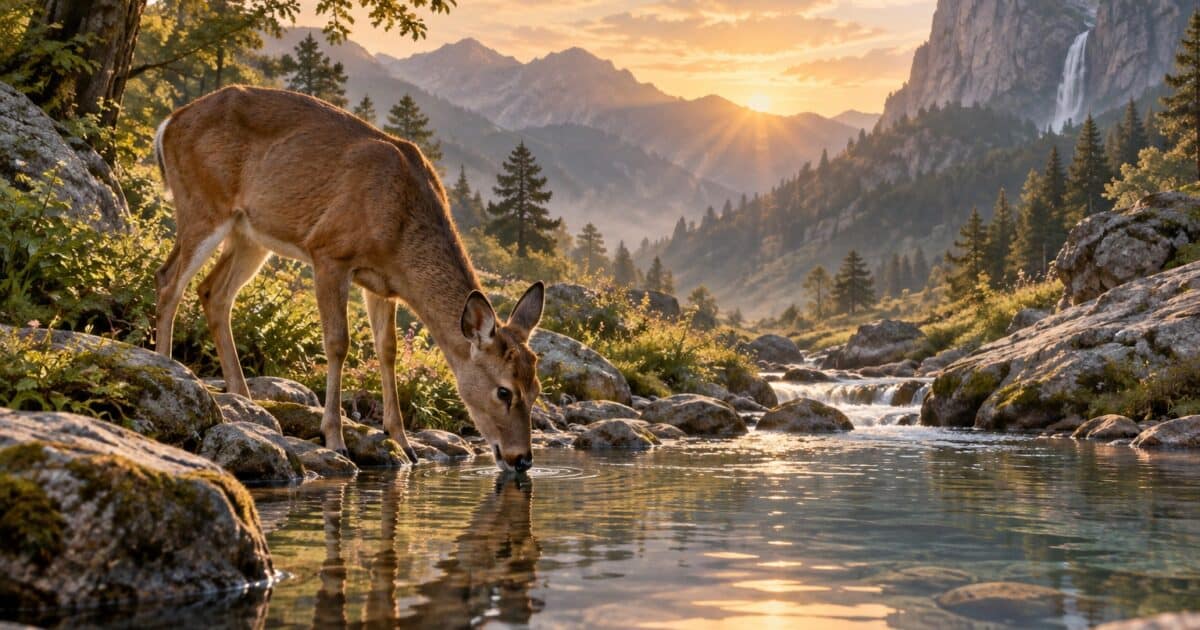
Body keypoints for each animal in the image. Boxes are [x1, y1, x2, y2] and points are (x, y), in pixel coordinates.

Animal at [153, 85, 542, 472]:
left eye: (537, 389)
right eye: (504, 390)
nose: (522, 459)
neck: (398, 227)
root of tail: (169, 123)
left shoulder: (384, 285)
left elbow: (388, 350)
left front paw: (403, 443)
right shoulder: (329, 252)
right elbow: (338, 342)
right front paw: (335, 438)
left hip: (249, 234)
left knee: (212, 291)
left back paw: (245, 400)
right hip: (203, 203)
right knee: (168, 279)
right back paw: (170, 368)